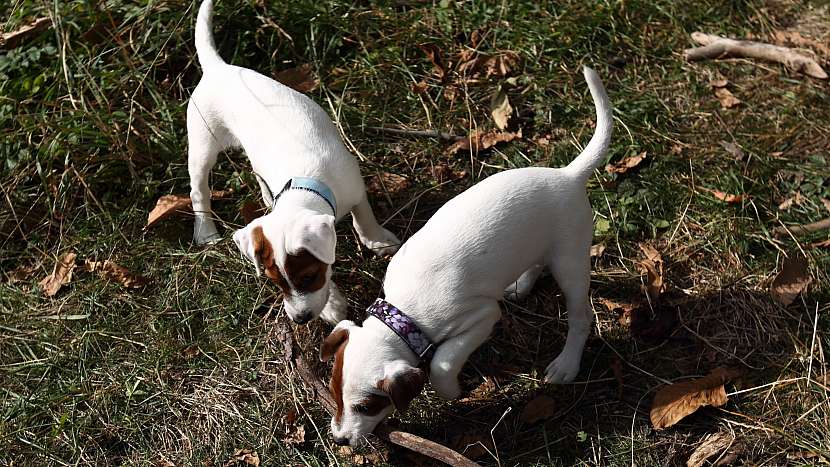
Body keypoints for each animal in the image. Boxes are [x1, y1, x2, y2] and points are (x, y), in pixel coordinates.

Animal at [187, 0, 402, 326]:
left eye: (309, 276)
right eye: (276, 283)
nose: (300, 319)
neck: (308, 182)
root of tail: (217, 69)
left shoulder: (355, 188)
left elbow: (364, 218)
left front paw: (377, 240)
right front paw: (332, 306)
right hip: (202, 144)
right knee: (198, 189)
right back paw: (206, 231)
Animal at [322, 66, 616, 446]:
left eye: (367, 406)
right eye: (334, 393)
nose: (340, 440)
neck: (406, 312)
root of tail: (569, 174)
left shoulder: (482, 316)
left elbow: (441, 363)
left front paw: (450, 390)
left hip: (570, 260)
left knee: (581, 316)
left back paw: (567, 363)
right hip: (538, 244)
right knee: (535, 261)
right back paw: (521, 286)